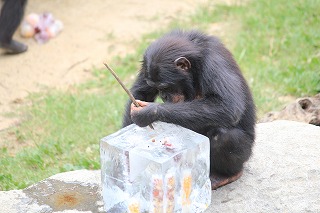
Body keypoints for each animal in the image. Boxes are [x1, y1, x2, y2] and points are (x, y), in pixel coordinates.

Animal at [121, 28, 256, 190]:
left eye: (165, 87)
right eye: (156, 87)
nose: (164, 95)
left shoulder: (215, 63)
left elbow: (227, 105)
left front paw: (148, 113)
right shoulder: (145, 65)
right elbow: (141, 93)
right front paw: (127, 161)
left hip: (245, 153)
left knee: (224, 136)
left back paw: (225, 175)